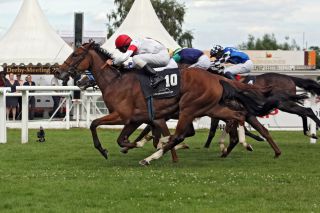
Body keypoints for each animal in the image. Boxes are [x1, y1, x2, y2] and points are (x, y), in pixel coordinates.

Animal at [54, 41, 302, 165]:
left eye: (75, 54)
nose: (59, 71)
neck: (117, 81)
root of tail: (217, 77)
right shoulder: (137, 119)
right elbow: (124, 139)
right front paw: (135, 145)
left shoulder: (124, 116)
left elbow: (94, 124)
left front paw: (106, 150)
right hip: (212, 107)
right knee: (237, 118)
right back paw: (240, 143)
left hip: (189, 108)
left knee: (183, 134)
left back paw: (151, 158)